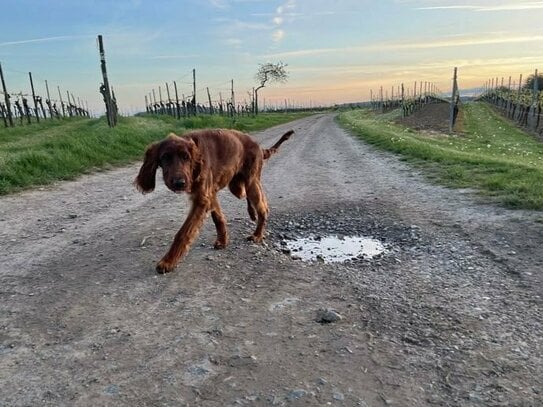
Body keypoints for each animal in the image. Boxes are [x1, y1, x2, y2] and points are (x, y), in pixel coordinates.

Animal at [135, 127, 294, 274]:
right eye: (165, 157)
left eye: (186, 157)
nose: (179, 183)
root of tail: (258, 146)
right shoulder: (209, 194)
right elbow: (218, 218)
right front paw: (223, 241)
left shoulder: (202, 199)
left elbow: (183, 233)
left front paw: (168, 261)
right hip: (237, 186)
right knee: (250, 197)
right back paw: (252, 214)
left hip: (251, 181)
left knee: (263, 207)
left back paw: (257, 235)